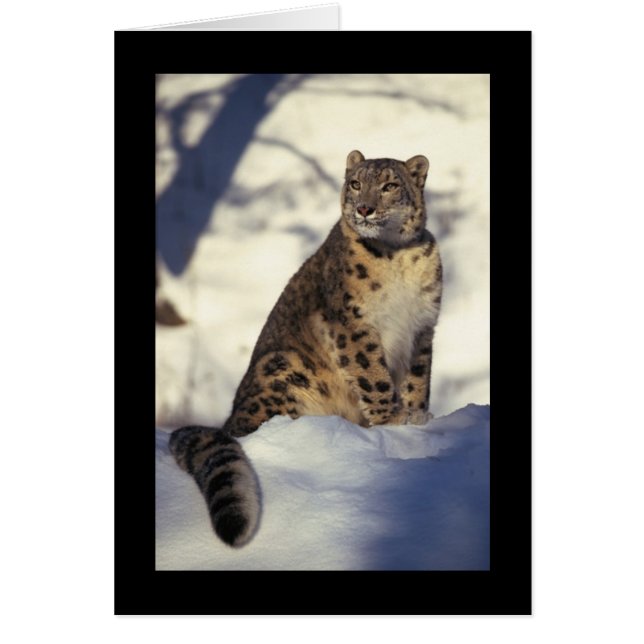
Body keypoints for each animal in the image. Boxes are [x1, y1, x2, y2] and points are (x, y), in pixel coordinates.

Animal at [168, 150, 443, 548]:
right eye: (355, 183)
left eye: (390, 185)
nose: (364, 208)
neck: (398, 255)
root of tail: (230, 419)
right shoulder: (352, 324)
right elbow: (373, 374)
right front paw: (393, 420)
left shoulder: (423, 327)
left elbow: (418, 379)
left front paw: (417, 415)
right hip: (285, 367)